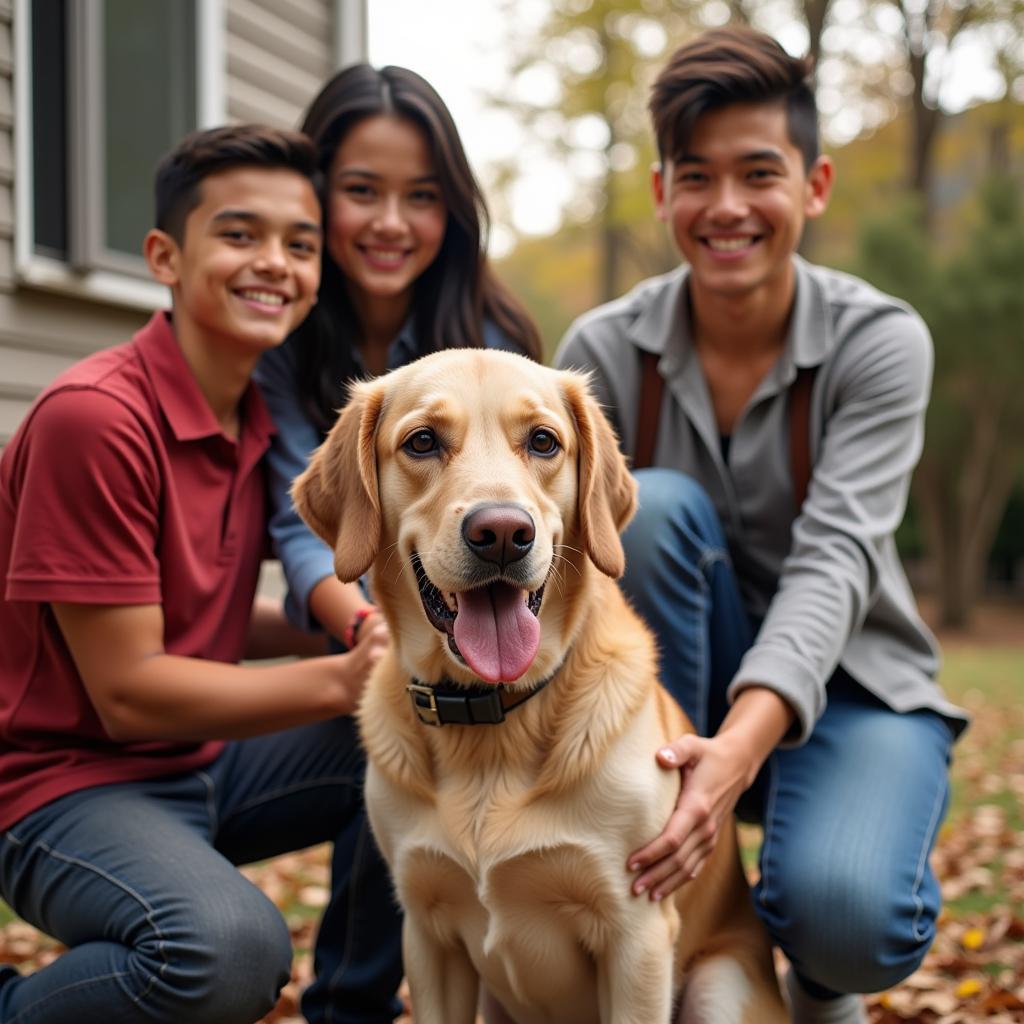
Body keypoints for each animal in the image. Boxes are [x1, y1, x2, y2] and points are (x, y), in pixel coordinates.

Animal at [292, 348, 786, 1019]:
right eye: (422, 441)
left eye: (543, 441)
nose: (502, 532)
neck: (490, 716)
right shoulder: (427, 934)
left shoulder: (637, 936)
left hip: (721, 988)